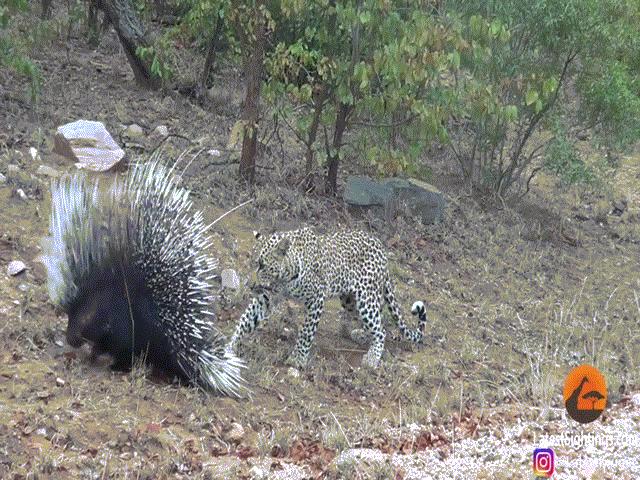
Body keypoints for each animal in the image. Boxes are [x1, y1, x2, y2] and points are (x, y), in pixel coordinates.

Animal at [226, 227, 430, 370]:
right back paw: (361, 334)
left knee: (381, 329)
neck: (286, 275)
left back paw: (372, 359)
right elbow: (247, 319)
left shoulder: (316, 298)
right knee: (374, 320)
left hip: (366, 297)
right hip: (350, 299)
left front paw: (297, 360)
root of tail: (383, 251)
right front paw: (229, 347)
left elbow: (306, 332)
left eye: (261, 265)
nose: (252, 284)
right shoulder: (266, 297)